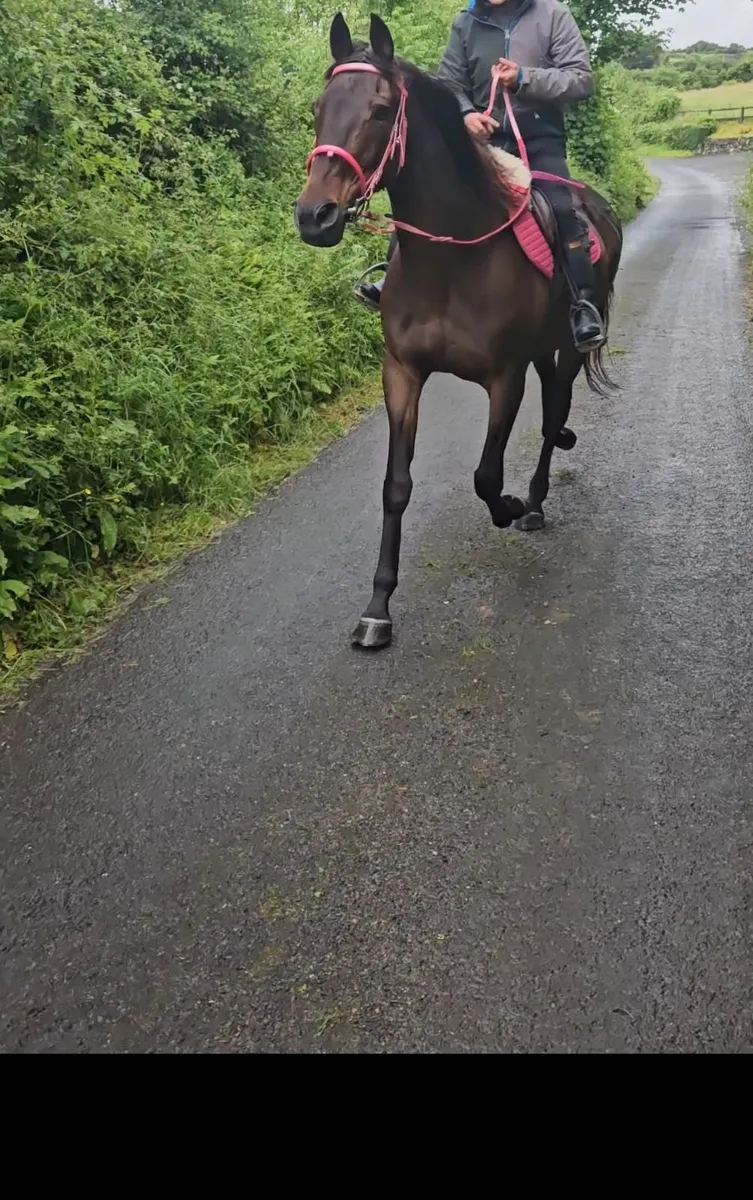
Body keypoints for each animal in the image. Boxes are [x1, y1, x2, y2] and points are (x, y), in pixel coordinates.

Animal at [295, 13, 623, 650]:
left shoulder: (504, 378)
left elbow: (486, 475)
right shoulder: (402, 373)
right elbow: (396, 486)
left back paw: (535, 502)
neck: (452, 259)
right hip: (542, 350)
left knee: (554, 414)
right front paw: (377, 607)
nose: (315, 216)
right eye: (319, 107)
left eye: (379, 110)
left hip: (569, 346)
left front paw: (511, 504)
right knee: (553, 408)